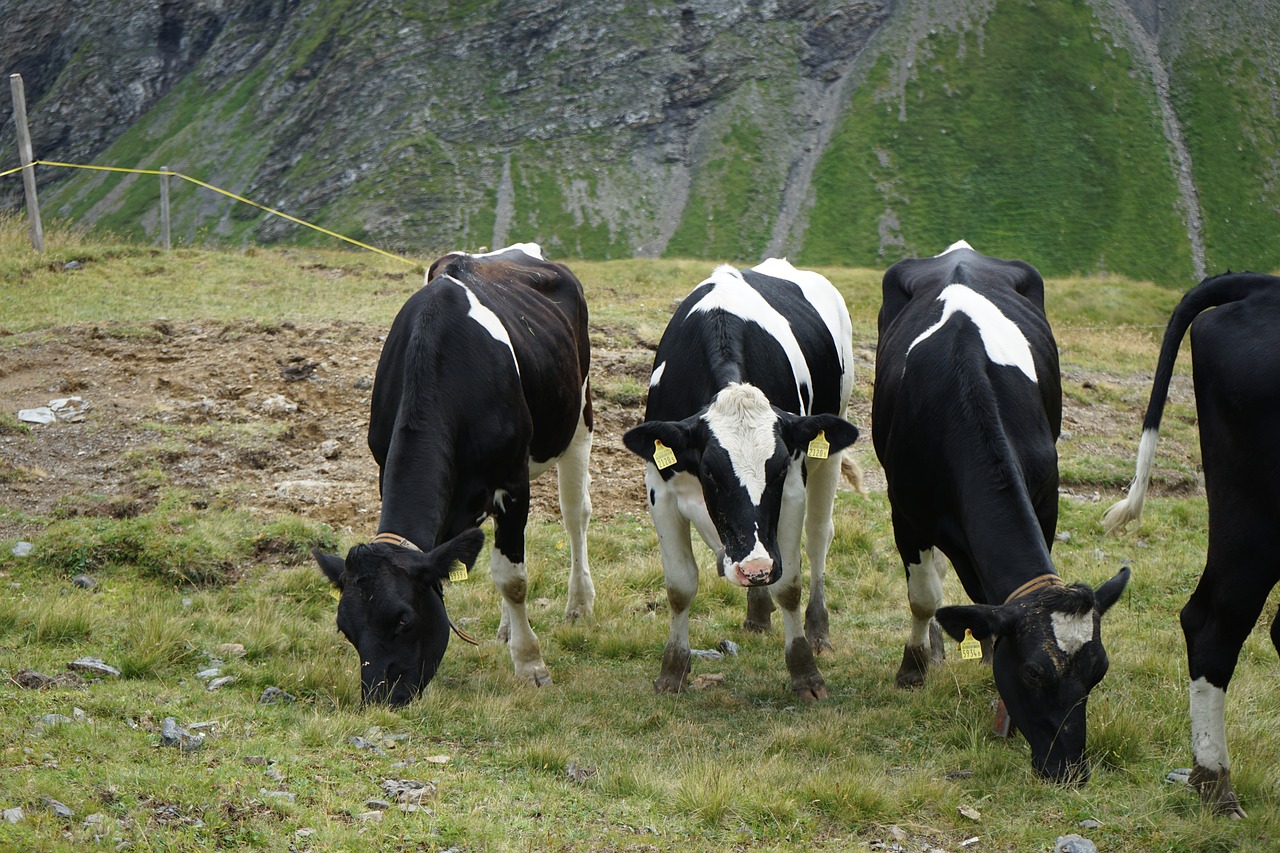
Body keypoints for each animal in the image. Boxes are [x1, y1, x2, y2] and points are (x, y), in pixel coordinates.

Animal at [309, 240, 593, 701]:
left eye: (404, 618)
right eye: (345, 629)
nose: (379, 698)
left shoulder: (512, 483)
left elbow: (513, 578)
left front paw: (531, 664)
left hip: (579, 416)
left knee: (574, 516)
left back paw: (579, 604)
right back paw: (506, 628)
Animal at [622, 257, 860, 696]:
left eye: (779, 467)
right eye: (710, 471)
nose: (755, 569)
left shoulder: (793, 488)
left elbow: (789, 585)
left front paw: (805, 672)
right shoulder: (659, 487)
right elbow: (680, 586)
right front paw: (672, 670)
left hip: (831, 449)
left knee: (819, 537)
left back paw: (818, 631)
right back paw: (757, 610)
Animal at [870, 240, 1131, 783]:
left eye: (1099, 672)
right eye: (1032, 673)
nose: (1069, 768)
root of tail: (961, 251)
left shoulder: (1046, 501)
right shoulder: (905, 512)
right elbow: (923, 598)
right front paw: (914, 666)